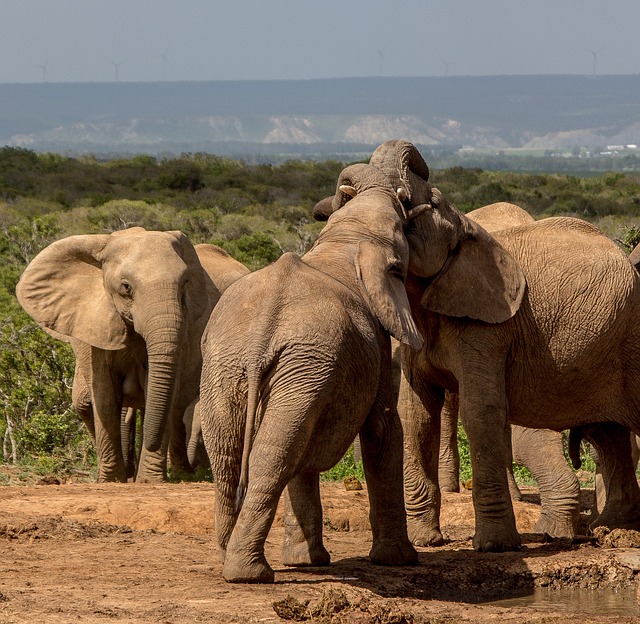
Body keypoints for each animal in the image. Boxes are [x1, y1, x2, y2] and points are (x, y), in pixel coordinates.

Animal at [16, 228, 225, 482]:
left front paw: (148, 481)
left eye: (185, 283)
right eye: (126, 287)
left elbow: (161, 390)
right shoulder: (95, 327)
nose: (151, 443)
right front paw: (111, 480)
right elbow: (104, 395)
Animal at [199, 163, 420, 584]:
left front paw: (307, 563)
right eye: (400, 266)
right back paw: (250, 574)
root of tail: (263, 329)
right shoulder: (377, 344)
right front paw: (401, 560)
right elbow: (384, 430)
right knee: (272, 456)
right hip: (301, 363)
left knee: (229, 452)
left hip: (231, 363)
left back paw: (226, 559)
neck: (346, 239)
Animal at [314, 140, 640, 552]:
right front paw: (425, 541)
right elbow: (416, 413)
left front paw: (494, 545)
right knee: (610, 436)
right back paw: (614, 530)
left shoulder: (488, 327)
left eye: (429, 203)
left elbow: (480, 410)